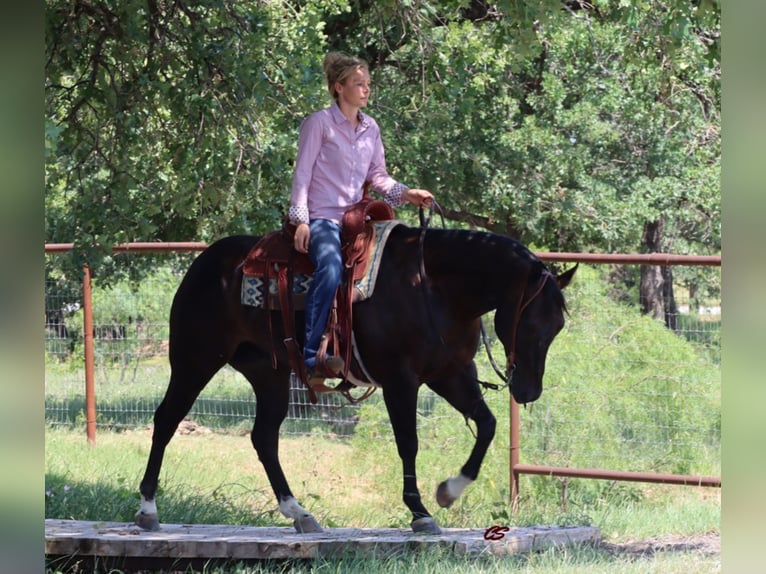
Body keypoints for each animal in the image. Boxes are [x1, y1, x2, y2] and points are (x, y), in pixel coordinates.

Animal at [136, 224, 576, 536]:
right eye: (531, 324)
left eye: (557, 327)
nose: (528, 390)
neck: (434, 288)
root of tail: (206, 261)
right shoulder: (401, 380)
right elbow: (409, 444)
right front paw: (420, 513)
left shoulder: (450, 374)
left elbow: (486, 425)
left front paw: (449, 490)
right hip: (195, 360)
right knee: (167, 420)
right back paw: (148, 510)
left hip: (269, 374)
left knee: (264, 438)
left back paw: (299, 512)